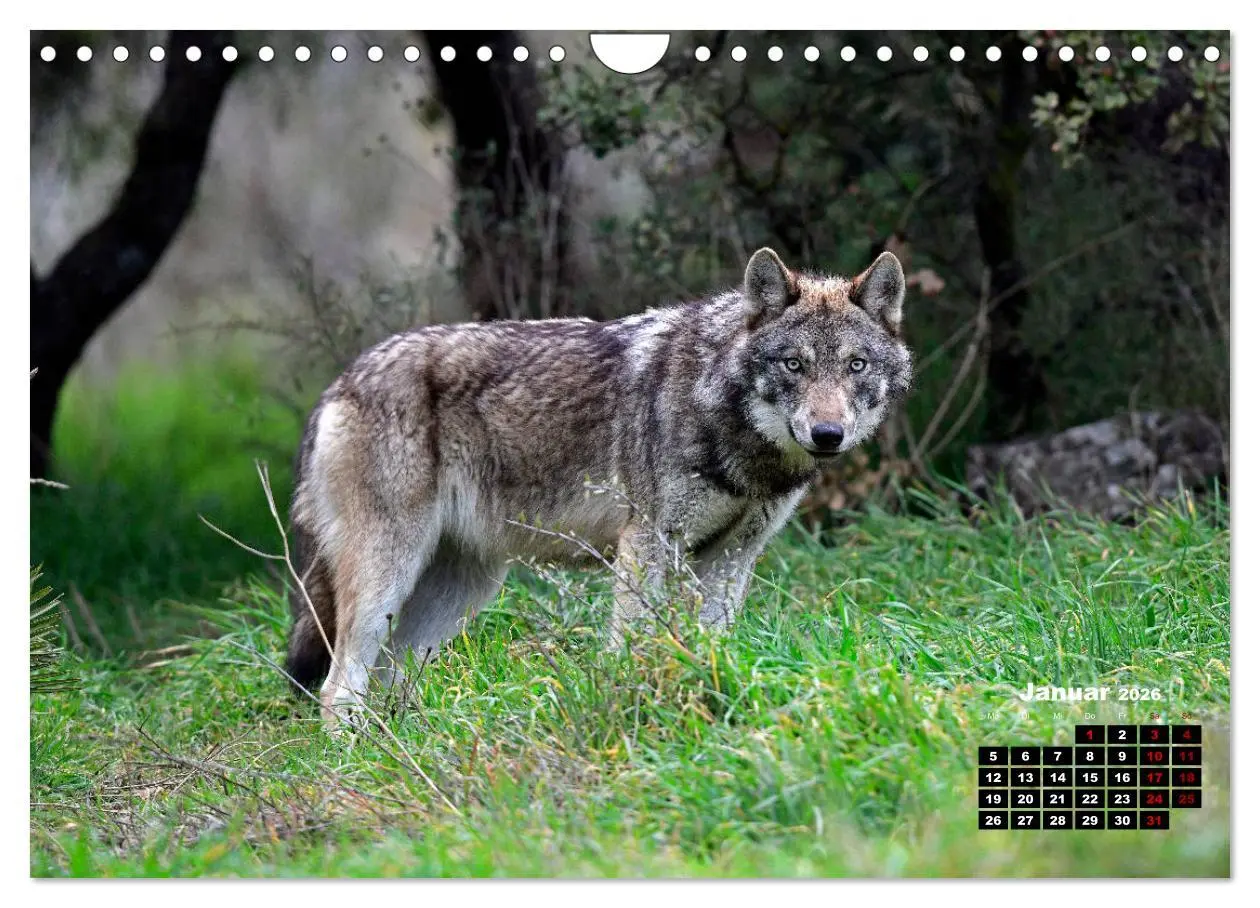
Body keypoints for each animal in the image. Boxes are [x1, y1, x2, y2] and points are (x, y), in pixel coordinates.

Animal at [285, 247, 912, 725]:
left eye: (855, 365)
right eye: (793, 365)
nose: (827, 435)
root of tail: (339, 382)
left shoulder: (732, 558)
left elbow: (714, 646)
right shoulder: (647, 544)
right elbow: (632, 645)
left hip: (458, 592)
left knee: (387, 676)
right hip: (391, 574)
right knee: (338, 684)